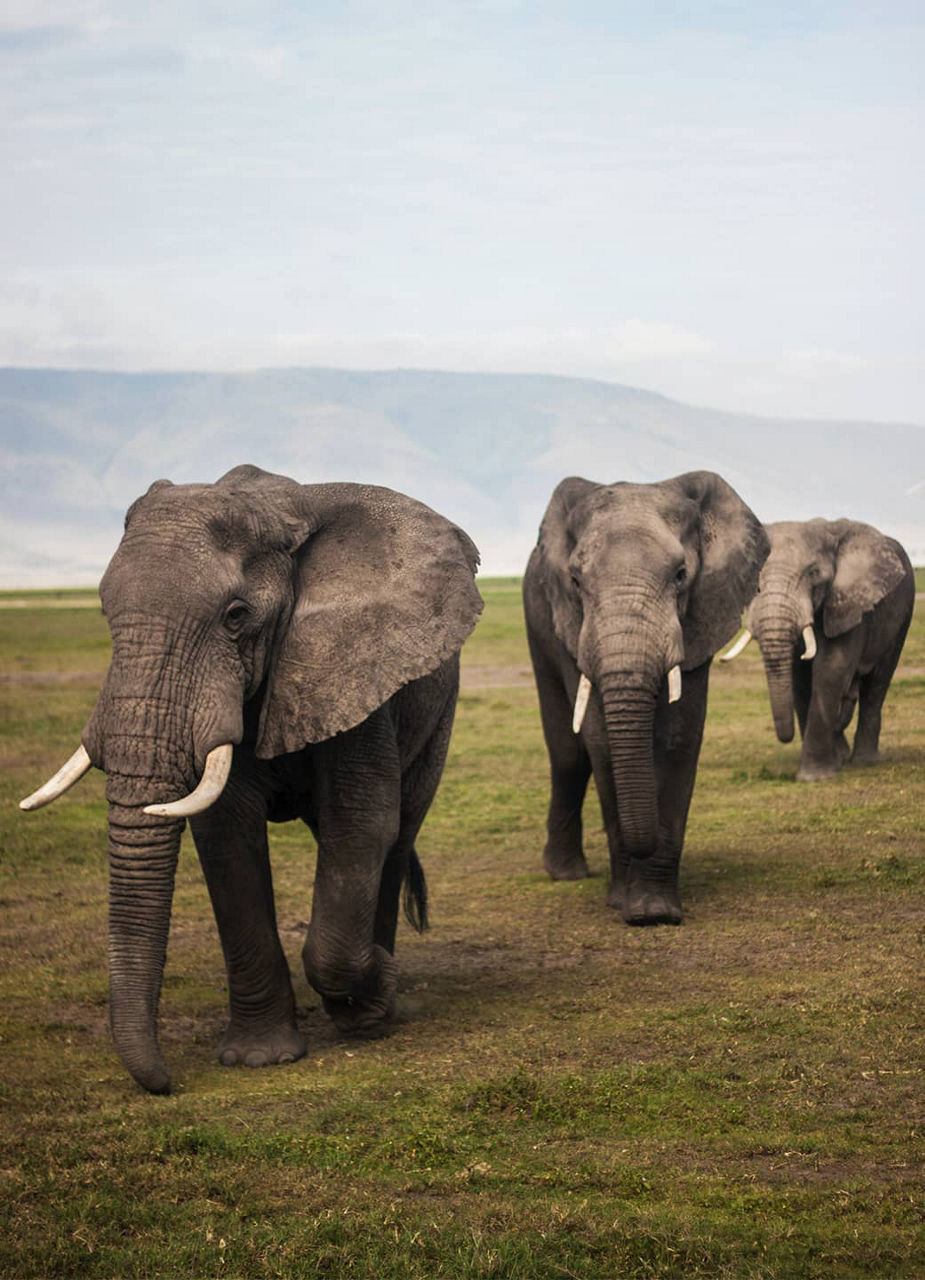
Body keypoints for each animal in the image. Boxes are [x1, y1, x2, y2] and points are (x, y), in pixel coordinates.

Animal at [19, 465, 483, 1095]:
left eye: (236, 616)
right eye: (103, 612)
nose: (166, 1083)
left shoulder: (351, 665)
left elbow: (361, 824)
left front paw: (373, 996)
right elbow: (226, 836)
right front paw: (258, 1058)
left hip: (440, 711)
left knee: (398, 832)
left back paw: (375, 1003)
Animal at [524, 468, 772, 921]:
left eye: (680, 575)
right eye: (575, 581)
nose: (645, 842)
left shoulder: (701, 614)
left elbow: (678, 737)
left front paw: (655, 912)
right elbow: (600, 740)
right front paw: (626, 903)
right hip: (537, 618)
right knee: (567, 753)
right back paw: (565, 874)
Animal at [721, 517, 916, 778]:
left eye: (813, 573)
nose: (786, 737)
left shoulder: (848, 603)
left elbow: (832, 667)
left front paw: (814, 777)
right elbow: (800, 677)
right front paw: (831, 764)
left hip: (904, 612)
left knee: (878, 683)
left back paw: (865, 760)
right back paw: (843, 755)